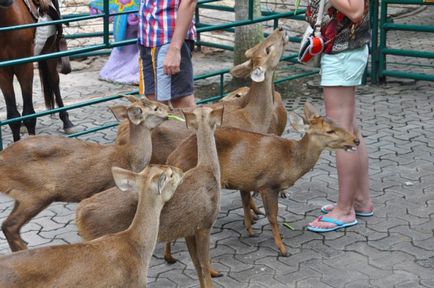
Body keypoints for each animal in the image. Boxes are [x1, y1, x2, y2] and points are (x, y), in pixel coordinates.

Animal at [0, 0, 74, 143]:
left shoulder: (25, 67)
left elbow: (29, 115)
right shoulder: (3, 72)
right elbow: (13, 117)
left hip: (50, 52)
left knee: (54, 82)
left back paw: (67, 122)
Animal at [0, 96, 175, 252]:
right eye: (155, 108)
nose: (170, 108)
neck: (127, 156)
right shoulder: (108, 185)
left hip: (22, 195)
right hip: (38, 191)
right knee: (10, 226)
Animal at [76, 106, 222, 288]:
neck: (208, 169)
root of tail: (79, 214)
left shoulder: (189, 229)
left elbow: (196, 265)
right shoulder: (205, 223)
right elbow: (204, 264)